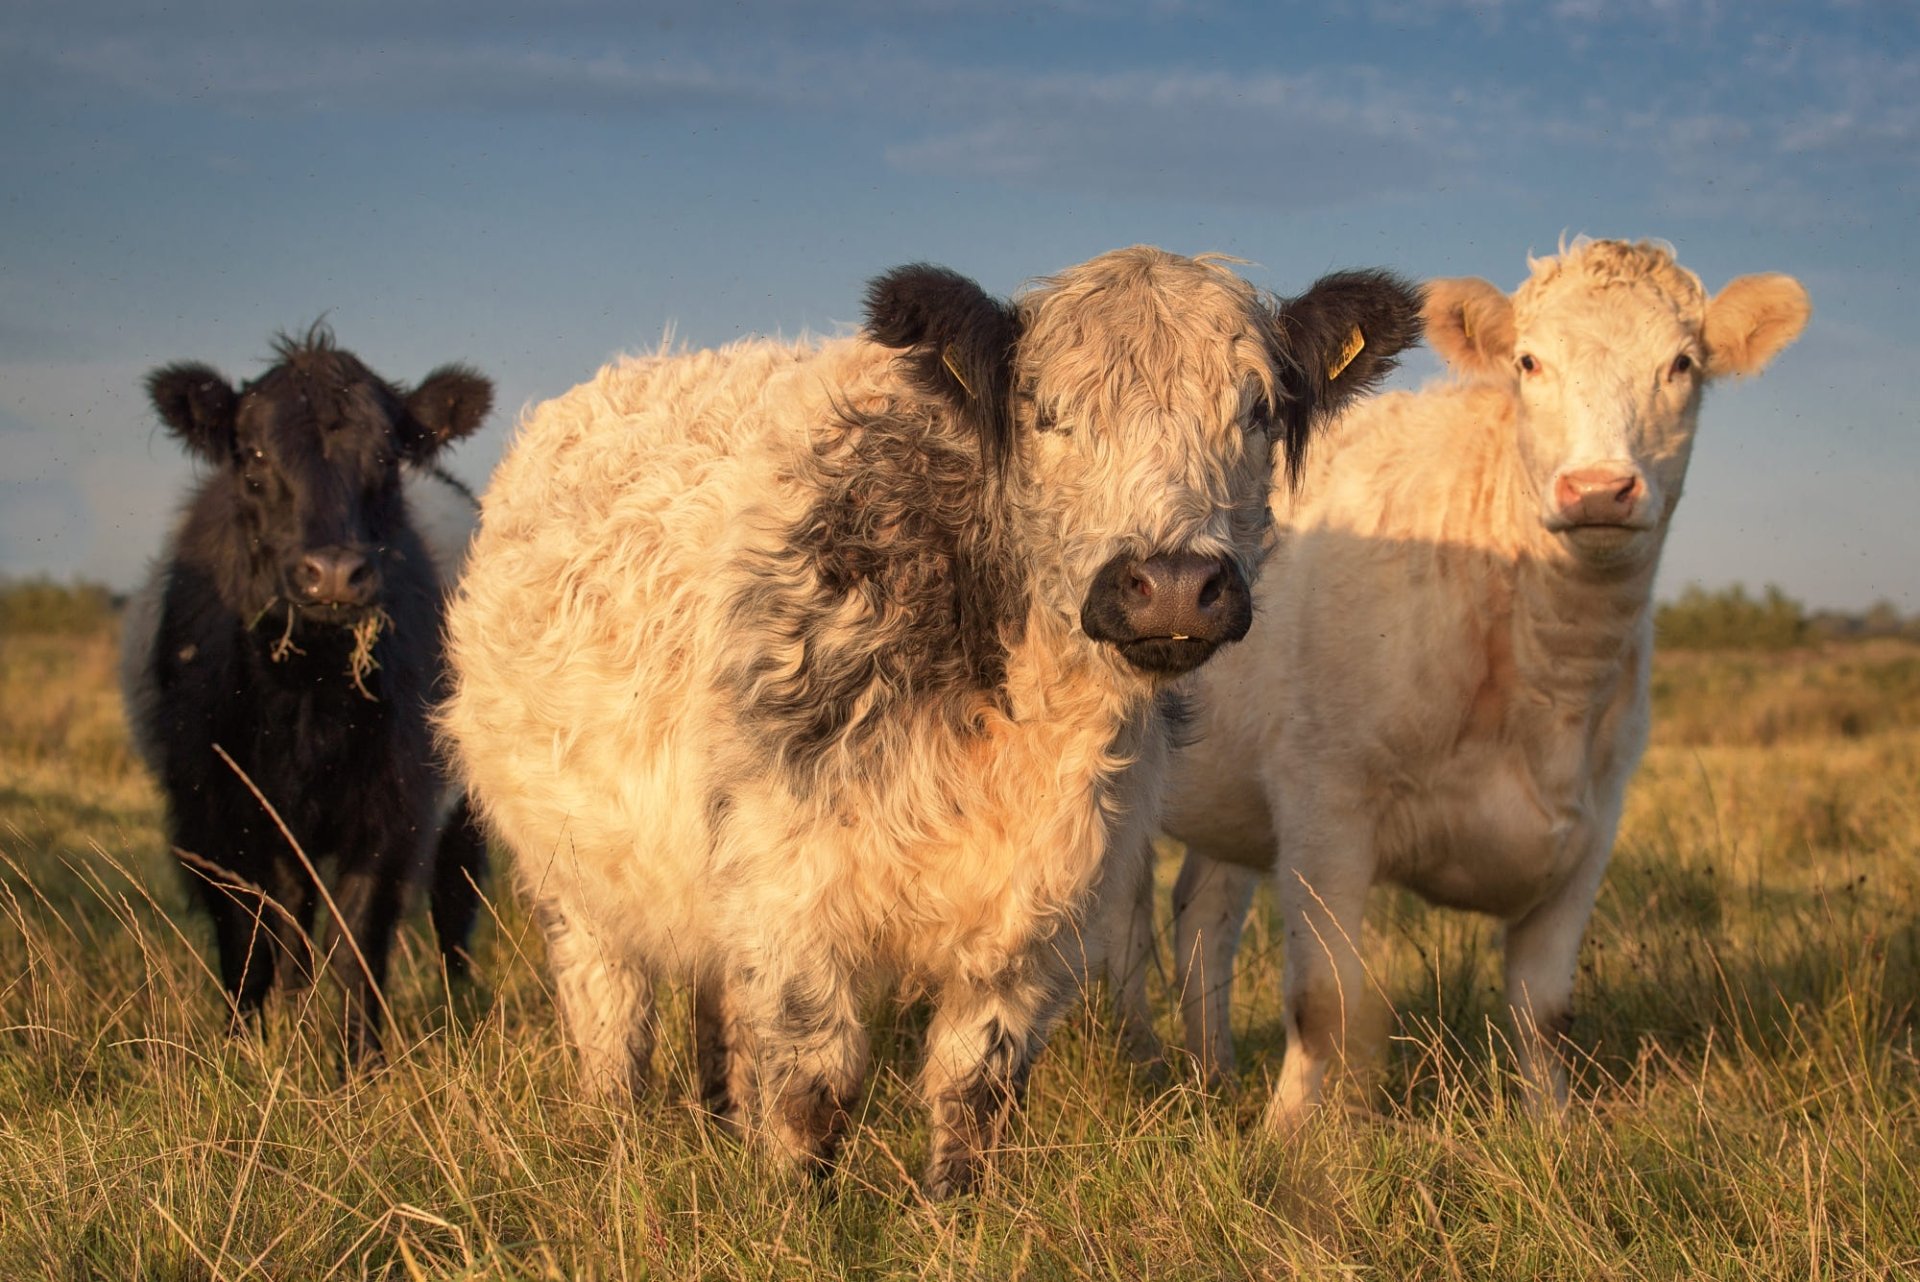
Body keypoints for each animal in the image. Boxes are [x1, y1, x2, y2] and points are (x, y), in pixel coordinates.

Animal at [119, 326, 495, 1061]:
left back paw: (460, 999)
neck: (307, 693)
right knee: (292, 912)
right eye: (254, 456)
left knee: (453, 894)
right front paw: (241, 1048)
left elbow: (359, 940)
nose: (334, 574)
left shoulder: (394, 807)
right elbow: (246, 936)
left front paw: (360, 1064)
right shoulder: (214, 809)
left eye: (386, 455)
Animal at [440, 246, 1423, 1194]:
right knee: (610, 1016)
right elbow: (811, 1090)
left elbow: (974, 1090)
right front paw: (797, 1218)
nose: (1175, 582)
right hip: (570, 872)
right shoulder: (789, 890)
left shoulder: (1045, 913)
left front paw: (953, 1213)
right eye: (1045, 411)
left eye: (1258, 409)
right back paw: (615, 1132)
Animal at [1106, 239, 1808, 1126]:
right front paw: (1291, 1137)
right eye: (1529, 362)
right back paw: (1143, 1061)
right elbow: (1324, 1000)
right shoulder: (1325, 806)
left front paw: (1554, 1130)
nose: (1599, 489)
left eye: (1683, 363)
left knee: (1203, 913)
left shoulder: (1594, 829)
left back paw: (1213, 1077)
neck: (1550, 678)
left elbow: (1544, 1011)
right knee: (1127, 923)